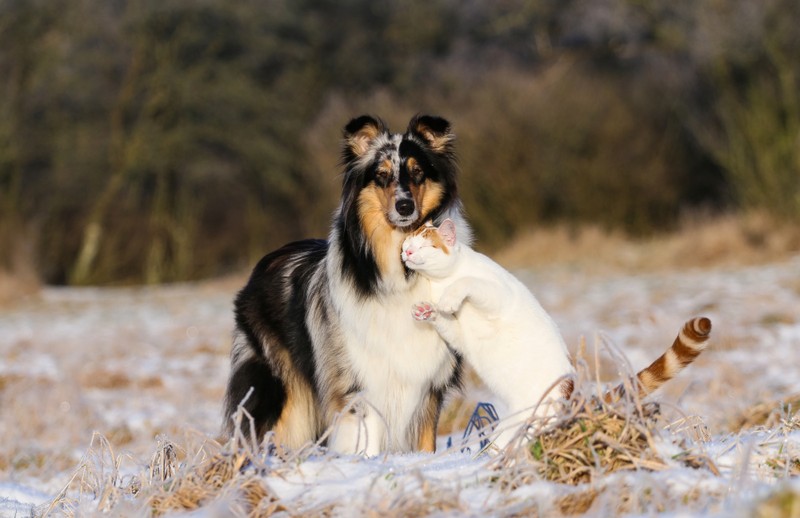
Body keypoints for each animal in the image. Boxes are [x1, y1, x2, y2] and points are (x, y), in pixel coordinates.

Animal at [222, 114, 472, 456]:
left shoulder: (427, 386)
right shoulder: (359, 386)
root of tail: (264, 261)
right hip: (287, 398)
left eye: (418, 172)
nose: (405, 207)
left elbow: (425, 443)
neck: (399, 268)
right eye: (381, 176)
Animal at [400, 219, 576, 450]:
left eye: (424, 246)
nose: (407, 252)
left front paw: (449, 299)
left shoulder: (497, 296)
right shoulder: (459, 336)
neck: (441, 283)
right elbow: (445, 321)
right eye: (406, 243)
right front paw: (427, 311)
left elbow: (467, 282)